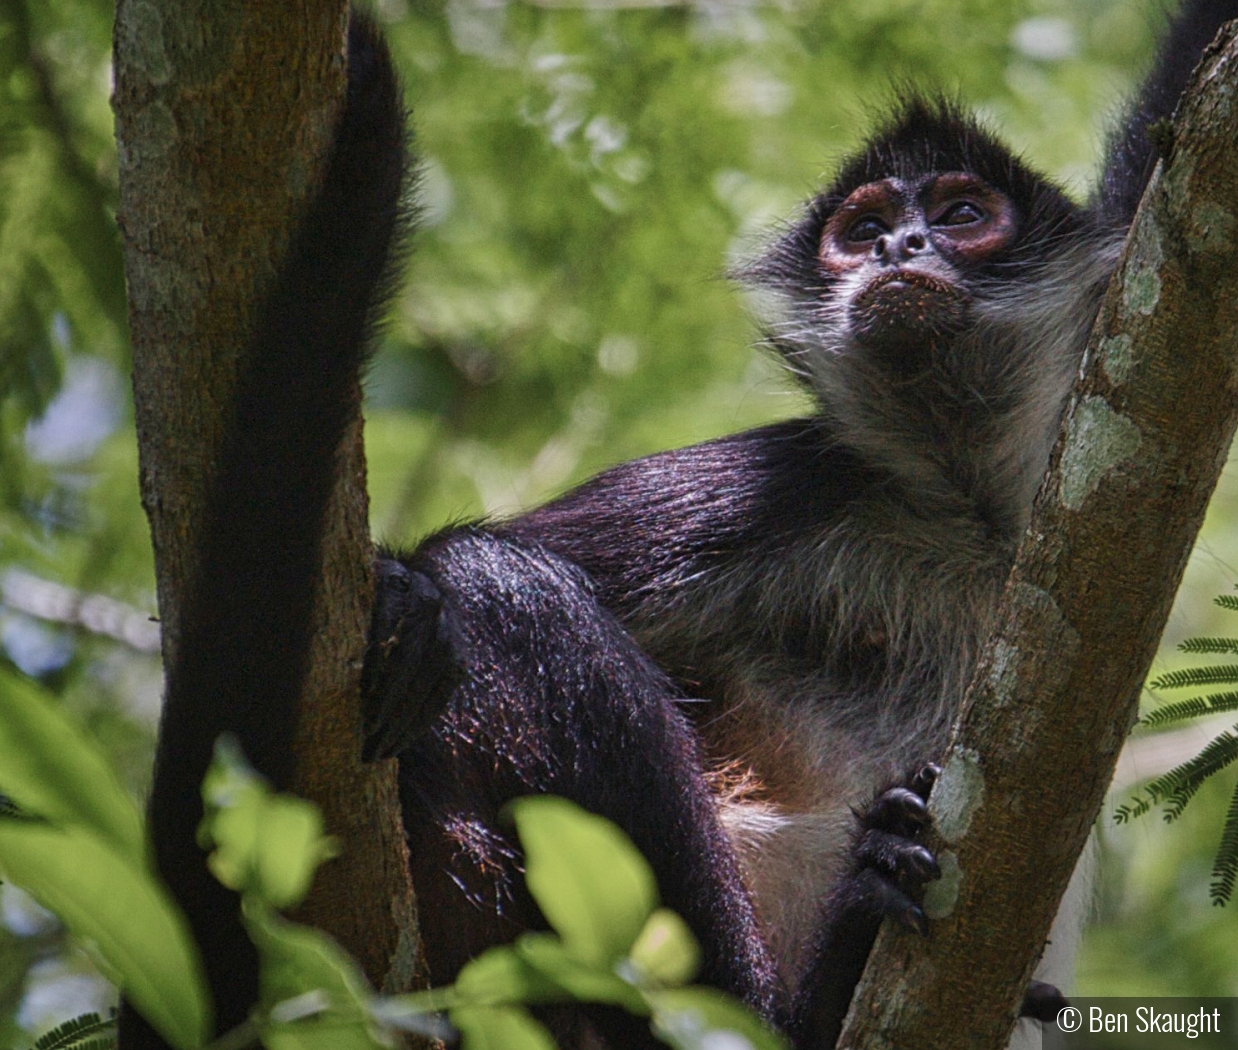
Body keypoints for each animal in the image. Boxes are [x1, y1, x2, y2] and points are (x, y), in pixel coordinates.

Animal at [123, 2, 1238, 1050]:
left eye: (964, 214)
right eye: (862, 228)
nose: (898, 246)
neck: (963, 512)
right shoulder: (793, 484)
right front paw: (404, 599)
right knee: (505, 586)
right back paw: (810, 1000)